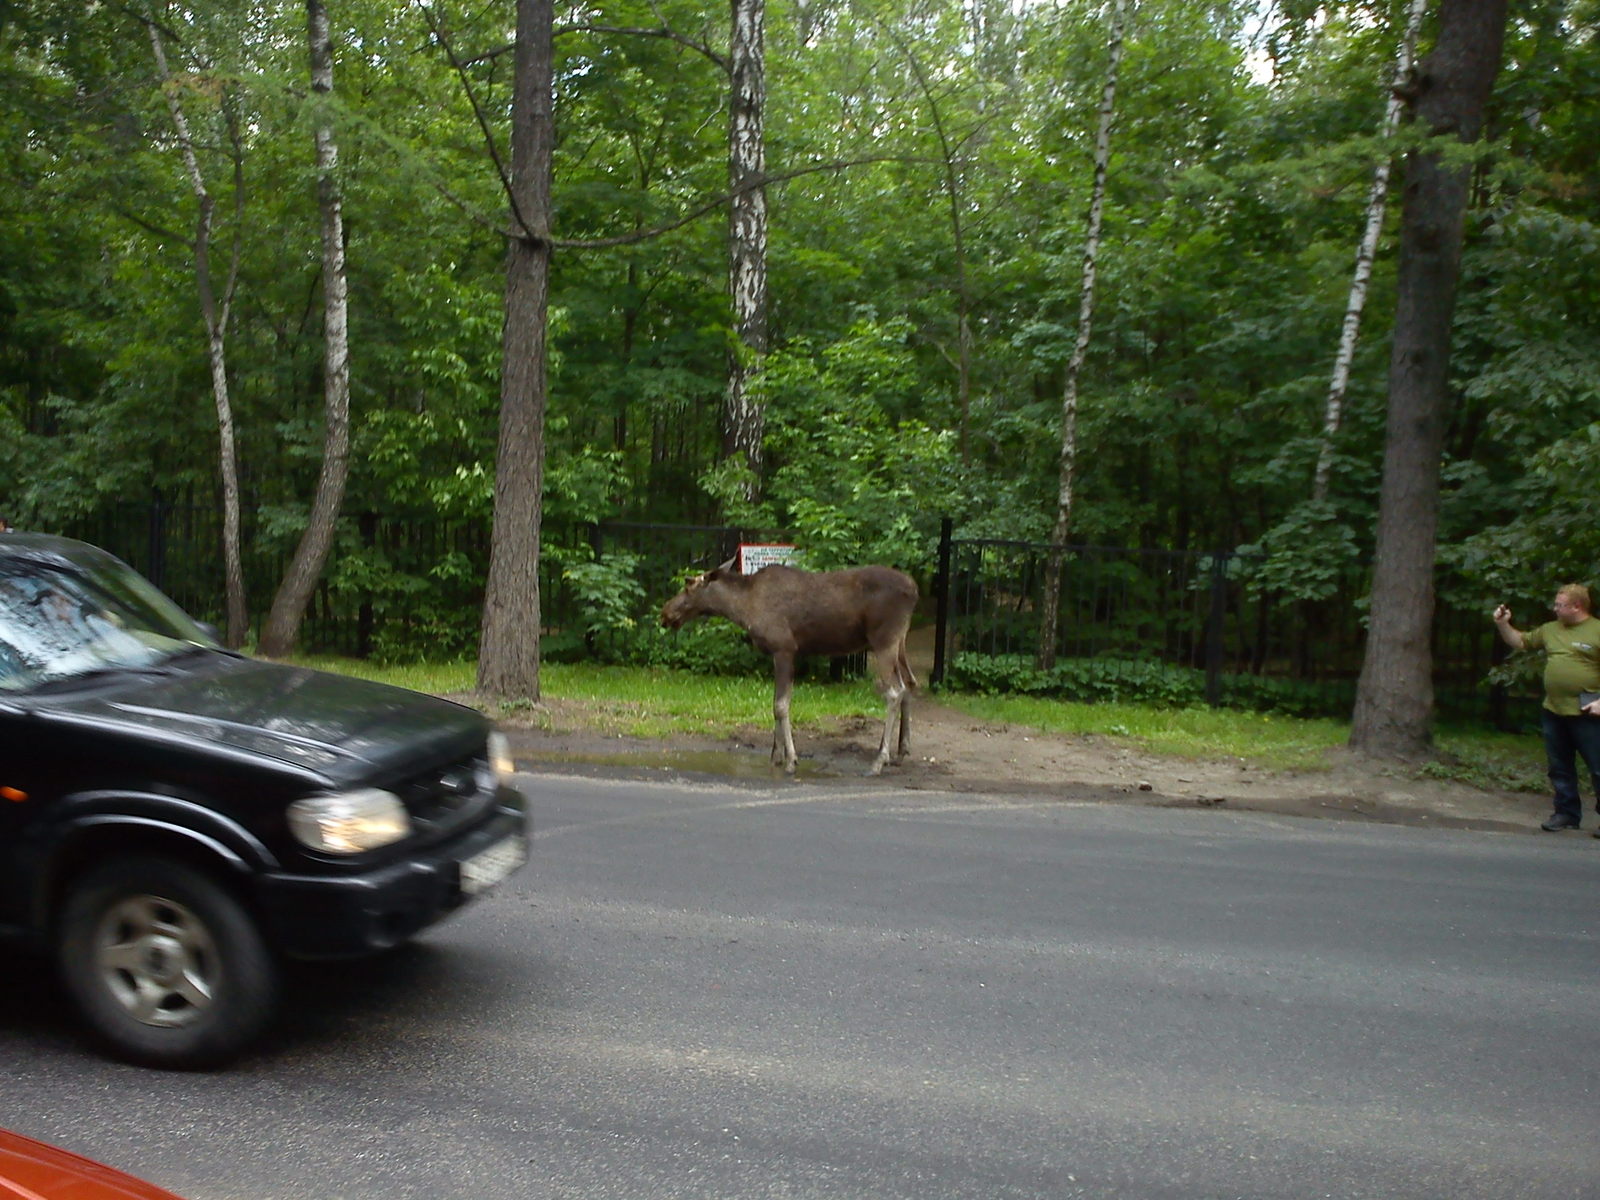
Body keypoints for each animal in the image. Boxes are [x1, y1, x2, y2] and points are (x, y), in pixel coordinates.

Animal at [659, 563, 915, 780]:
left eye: (688, 586)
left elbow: (781, 705)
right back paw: (901, 751)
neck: (743, 608)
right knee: (909, 684)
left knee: (894, 691)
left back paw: (878, 761)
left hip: (883, 640)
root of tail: (915, 591)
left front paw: (791, 760)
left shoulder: (784, 648)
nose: (665, 612)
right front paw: (776, 756)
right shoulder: (780, 653)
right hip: (900, 641)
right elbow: (775, 705)